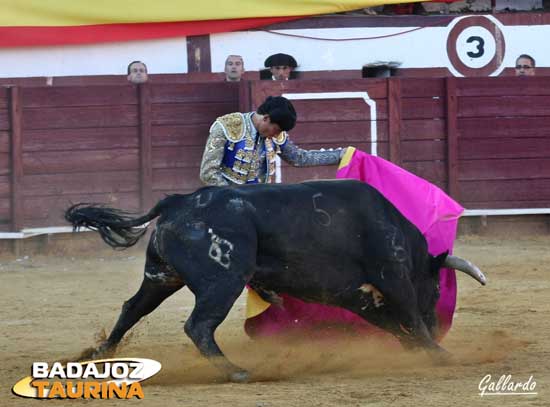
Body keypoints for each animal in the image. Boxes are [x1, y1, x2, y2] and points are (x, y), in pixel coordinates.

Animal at [64, 180, 486, 384]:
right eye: (436, 287)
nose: (439, 326)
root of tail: (178, 202)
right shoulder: (393, 274)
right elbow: (409, 315)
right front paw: (439, 352)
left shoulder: (356, 296)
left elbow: (397, 325)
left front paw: (420, 349)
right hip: (224, 280)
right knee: (199, 325)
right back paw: (236, 371)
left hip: (161, 276)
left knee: (133, 308)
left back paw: (96, 353)